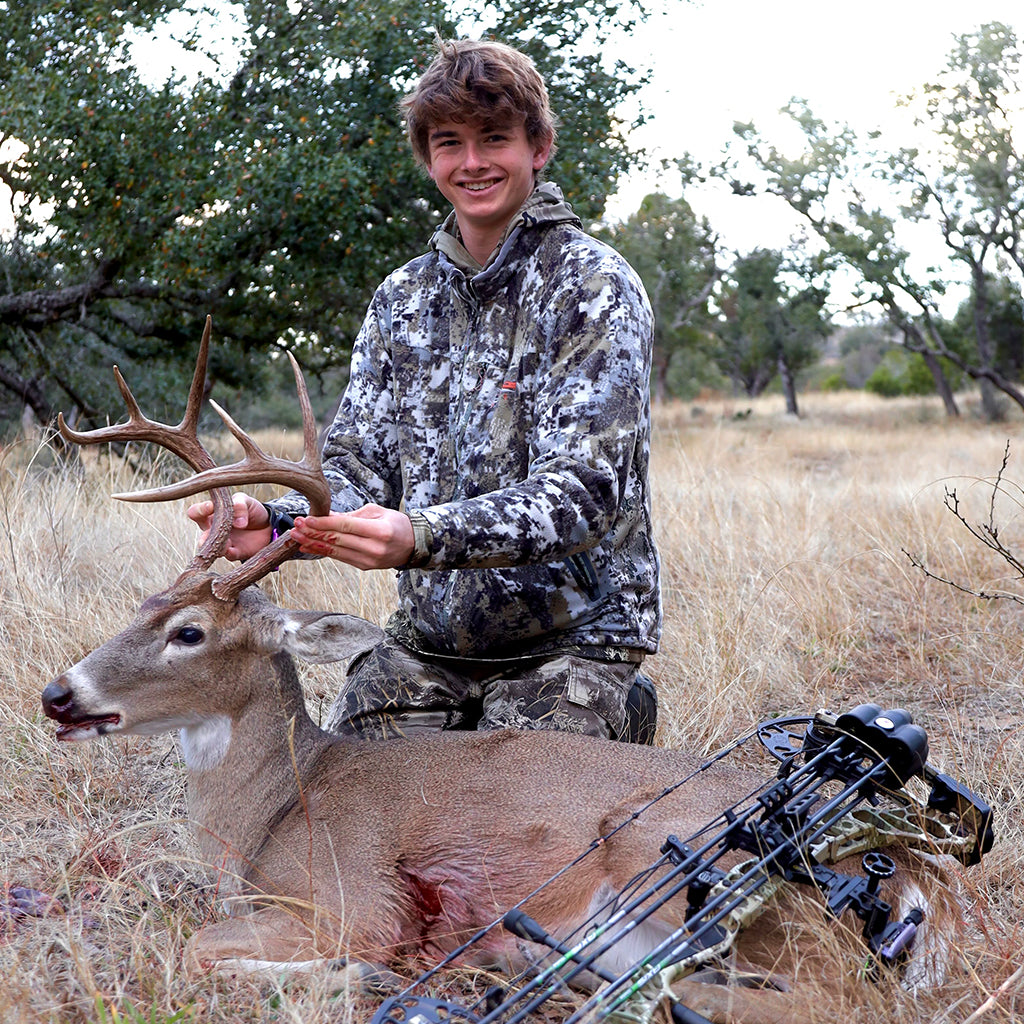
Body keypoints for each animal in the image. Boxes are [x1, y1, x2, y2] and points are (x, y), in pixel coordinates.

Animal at [41, 319, 985, 1024]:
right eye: (140, 604)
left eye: (190, 633)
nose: (59, 694)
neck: (277, 805)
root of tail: (918, 879)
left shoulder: (352, 898)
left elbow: (198, 947)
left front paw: (361, 978)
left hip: (686, 880)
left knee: (802, 1002)